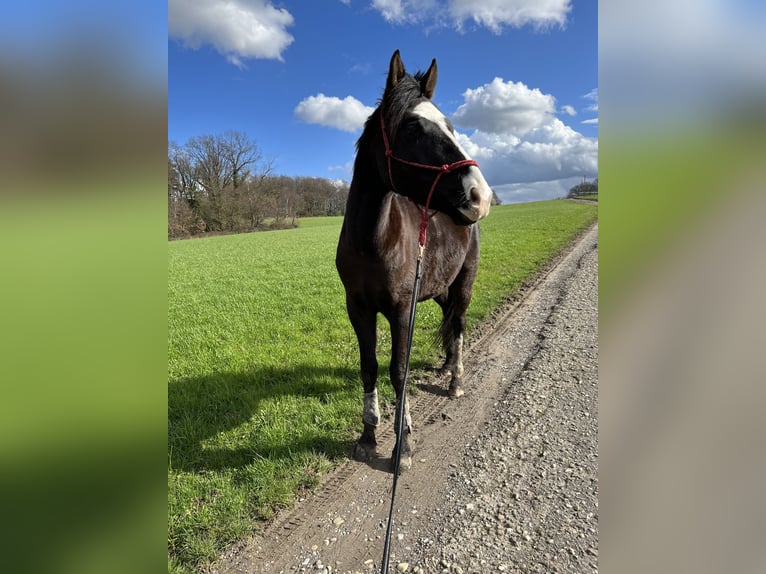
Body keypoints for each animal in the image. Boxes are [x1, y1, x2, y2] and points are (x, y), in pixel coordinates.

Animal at [334, 49, 492, 472]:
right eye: (412, 129)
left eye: (450, 126)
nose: (480, 195)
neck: (373, 241)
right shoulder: (358, 308)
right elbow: (369, 367)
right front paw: (368, 437)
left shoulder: (402, 310)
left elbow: (398, 371)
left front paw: (401, 444)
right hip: (438, 289)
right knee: (448, 321)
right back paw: (447, 365)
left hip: (463, 284)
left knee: (459, 324)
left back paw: (455, 380)